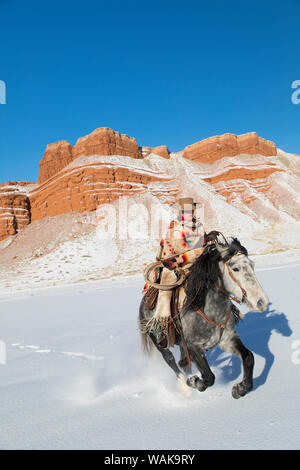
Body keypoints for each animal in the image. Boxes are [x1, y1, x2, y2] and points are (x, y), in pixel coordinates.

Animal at [139, 237, 270, 398]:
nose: (262, 302)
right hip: (160, 343)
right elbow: (209, 377)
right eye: (235, 268)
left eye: (252, 265)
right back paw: (185, 388)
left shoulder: (227, 339)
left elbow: (248, 357)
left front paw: (240, 389)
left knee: (183, 362)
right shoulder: (193, 347)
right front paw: (194, 381)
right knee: (172, 363)